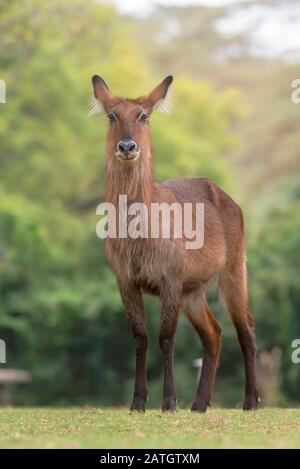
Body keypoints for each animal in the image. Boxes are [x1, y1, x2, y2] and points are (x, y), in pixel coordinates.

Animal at [91, 75, 258, 412]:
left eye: (143, 116)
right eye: (112, 115)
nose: (127, 146)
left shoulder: (170, 280)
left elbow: (166, 338)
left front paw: (168, 401)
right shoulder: (126, 281)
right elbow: (140, 337)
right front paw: (138, 402)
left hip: (234, 272)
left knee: (245, 327)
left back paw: (250, 401)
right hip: (192, 293)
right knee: (214, 333)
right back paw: (200, 404)